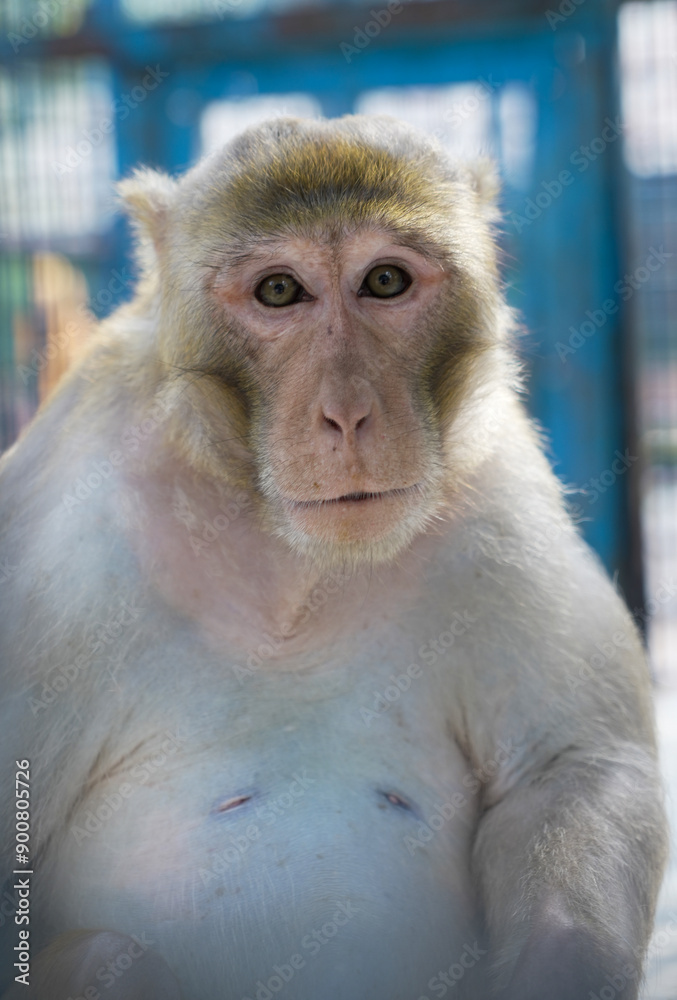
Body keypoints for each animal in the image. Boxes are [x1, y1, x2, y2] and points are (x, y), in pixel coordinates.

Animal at [0, 115, 668, 1000]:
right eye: (279, 291)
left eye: (384, 280)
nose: (347, 414)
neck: (294, 559)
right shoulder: (57, 530)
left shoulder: (496, 483)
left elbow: (571, 770)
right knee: (109, 955)